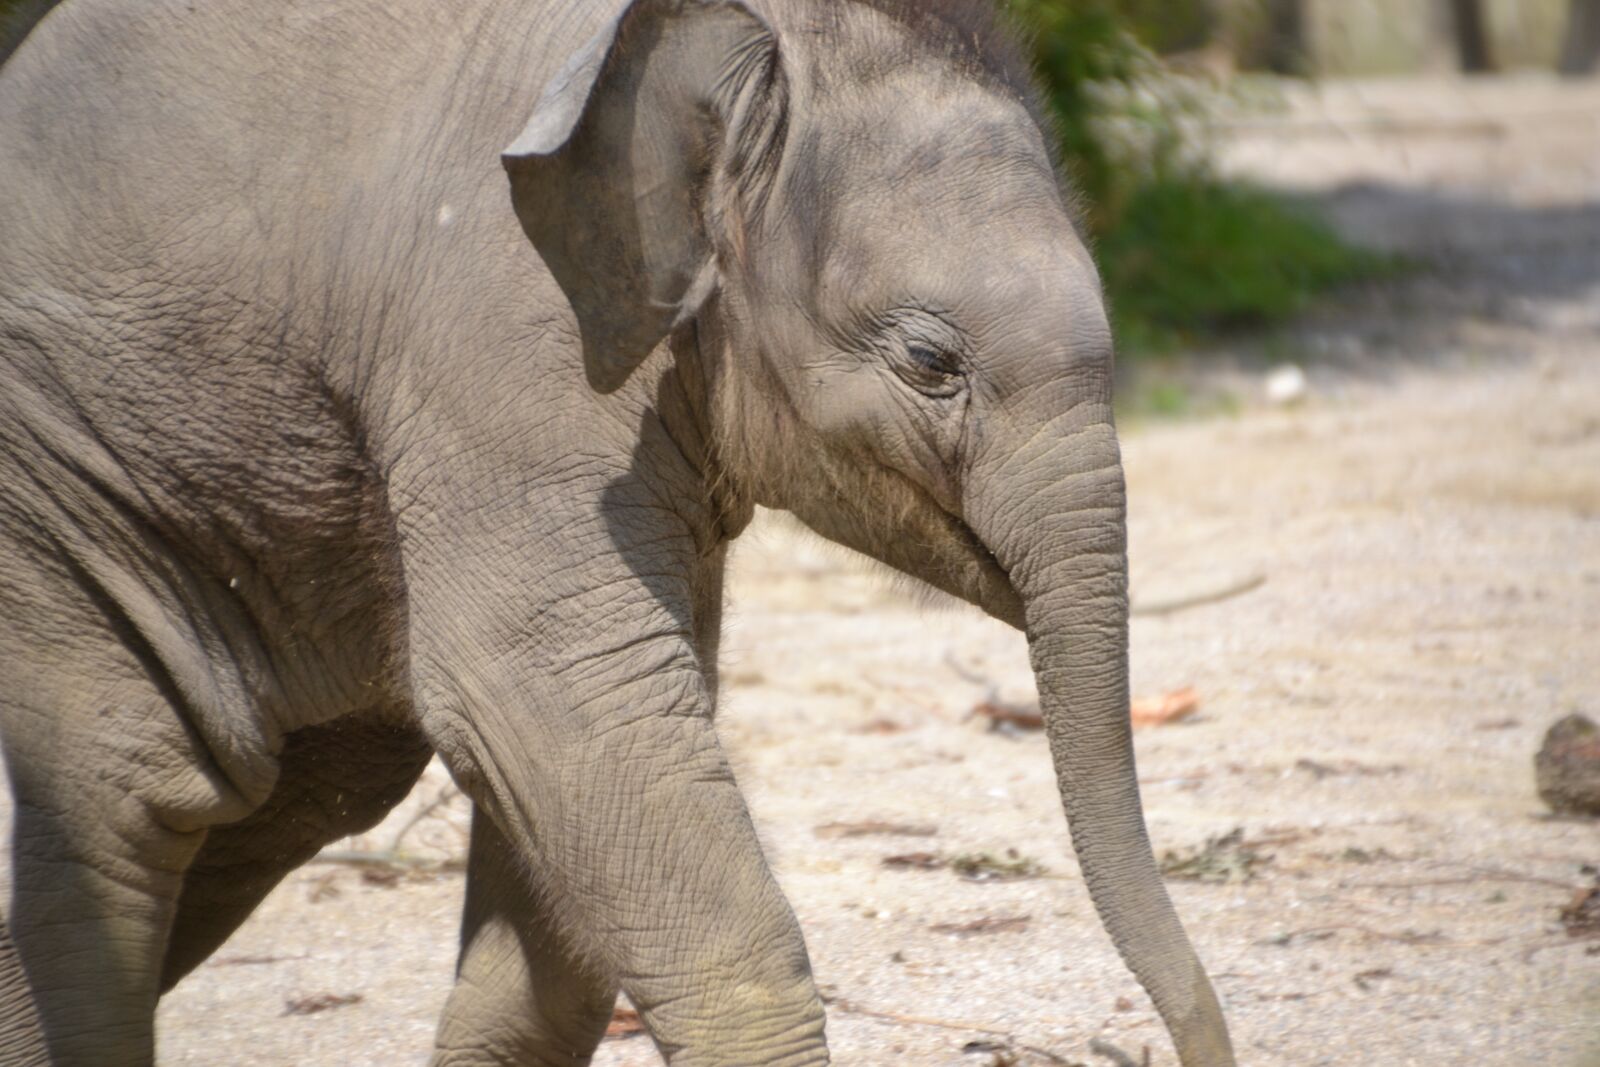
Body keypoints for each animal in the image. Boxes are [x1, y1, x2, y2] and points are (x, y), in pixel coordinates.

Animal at [0, 0, 1238, 1063]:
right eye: (930, 361)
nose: (1189, 1045)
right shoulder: (502, 346)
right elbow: (562, 697)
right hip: (57, 495)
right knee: (121, 804)